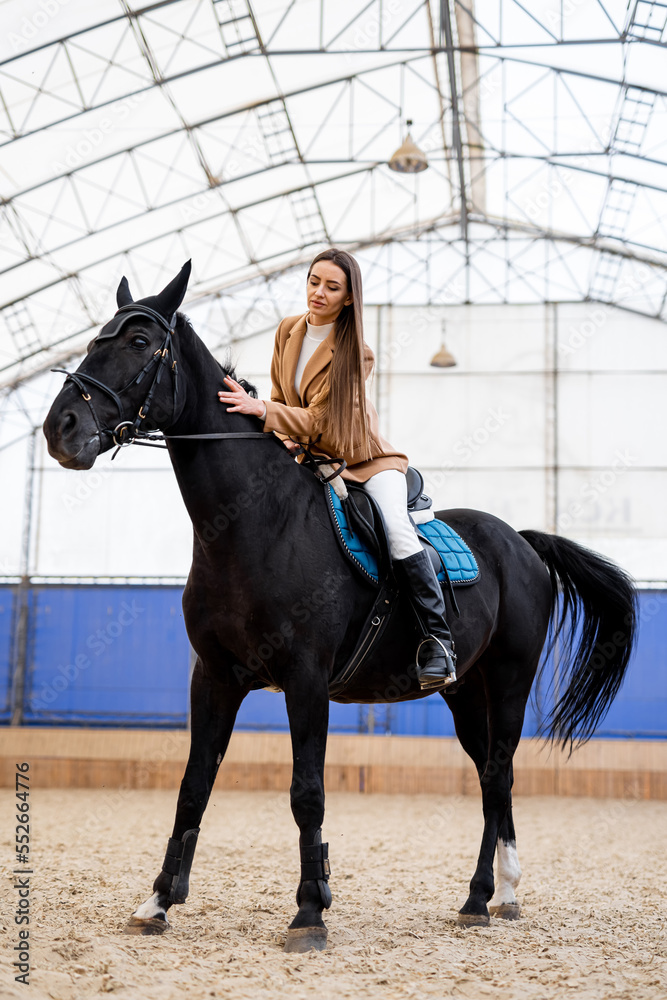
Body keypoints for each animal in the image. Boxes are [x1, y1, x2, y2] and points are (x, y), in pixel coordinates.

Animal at [41, 266, 636, 952]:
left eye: (139, 342)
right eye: (97, 337)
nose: (60, 428)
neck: (251, 522)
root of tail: (521, 541)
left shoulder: (306, 680)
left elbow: (307, 793)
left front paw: (309, 913)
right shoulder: (213, 677)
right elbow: (193, 788)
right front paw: (159, 902)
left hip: (509, 679)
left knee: (498, 771)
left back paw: (491, 894)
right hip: (463, 691)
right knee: (491, 777)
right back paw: (489, 898)